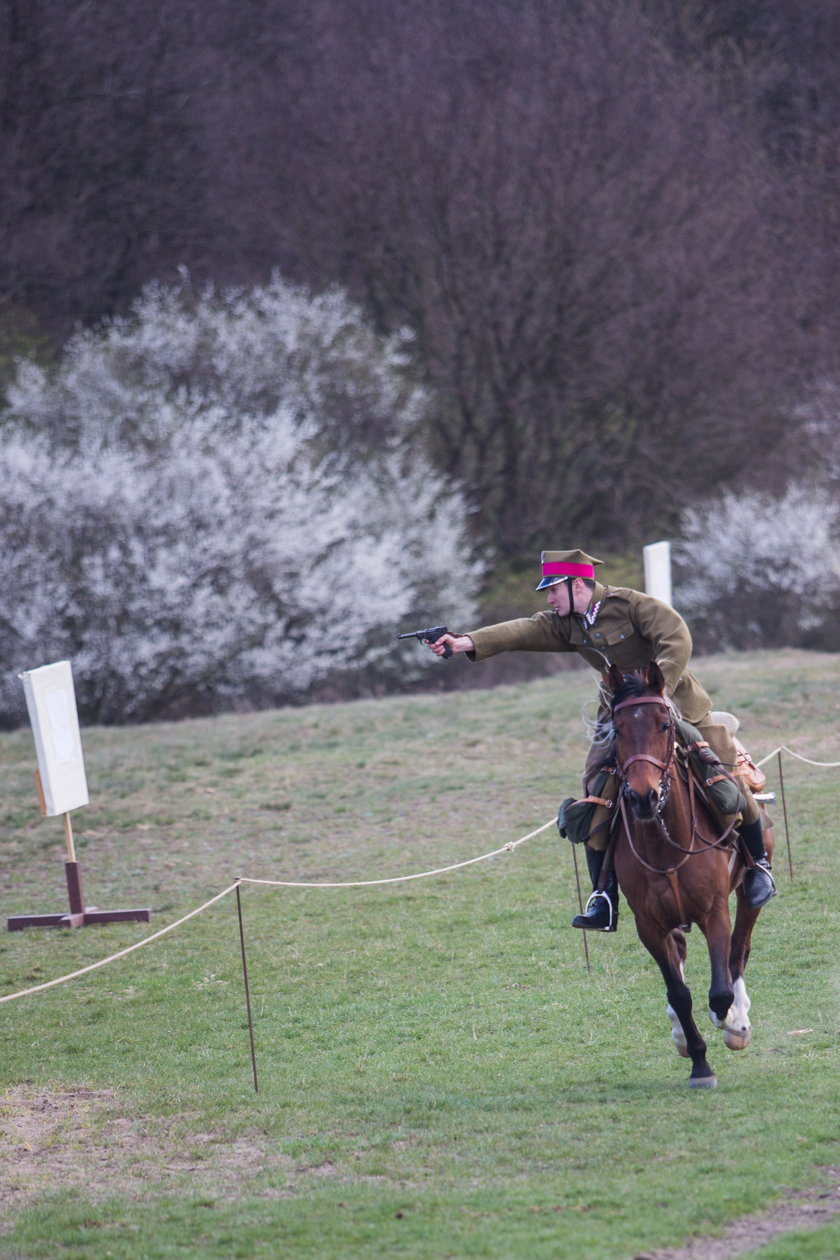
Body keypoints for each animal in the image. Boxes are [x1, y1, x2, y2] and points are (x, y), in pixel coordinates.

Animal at [604, 665, 775, 1088]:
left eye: (664, 724)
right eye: (617, 729)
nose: (643, 796)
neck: (667, 846)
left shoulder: (714, 912)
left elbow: (720, 988)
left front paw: (729, 1020)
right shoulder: (649, 925)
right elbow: (679, 993)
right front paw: (699, 1062)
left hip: (747, 894)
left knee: (738, 950)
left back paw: (737, 1023)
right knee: (681, 954)